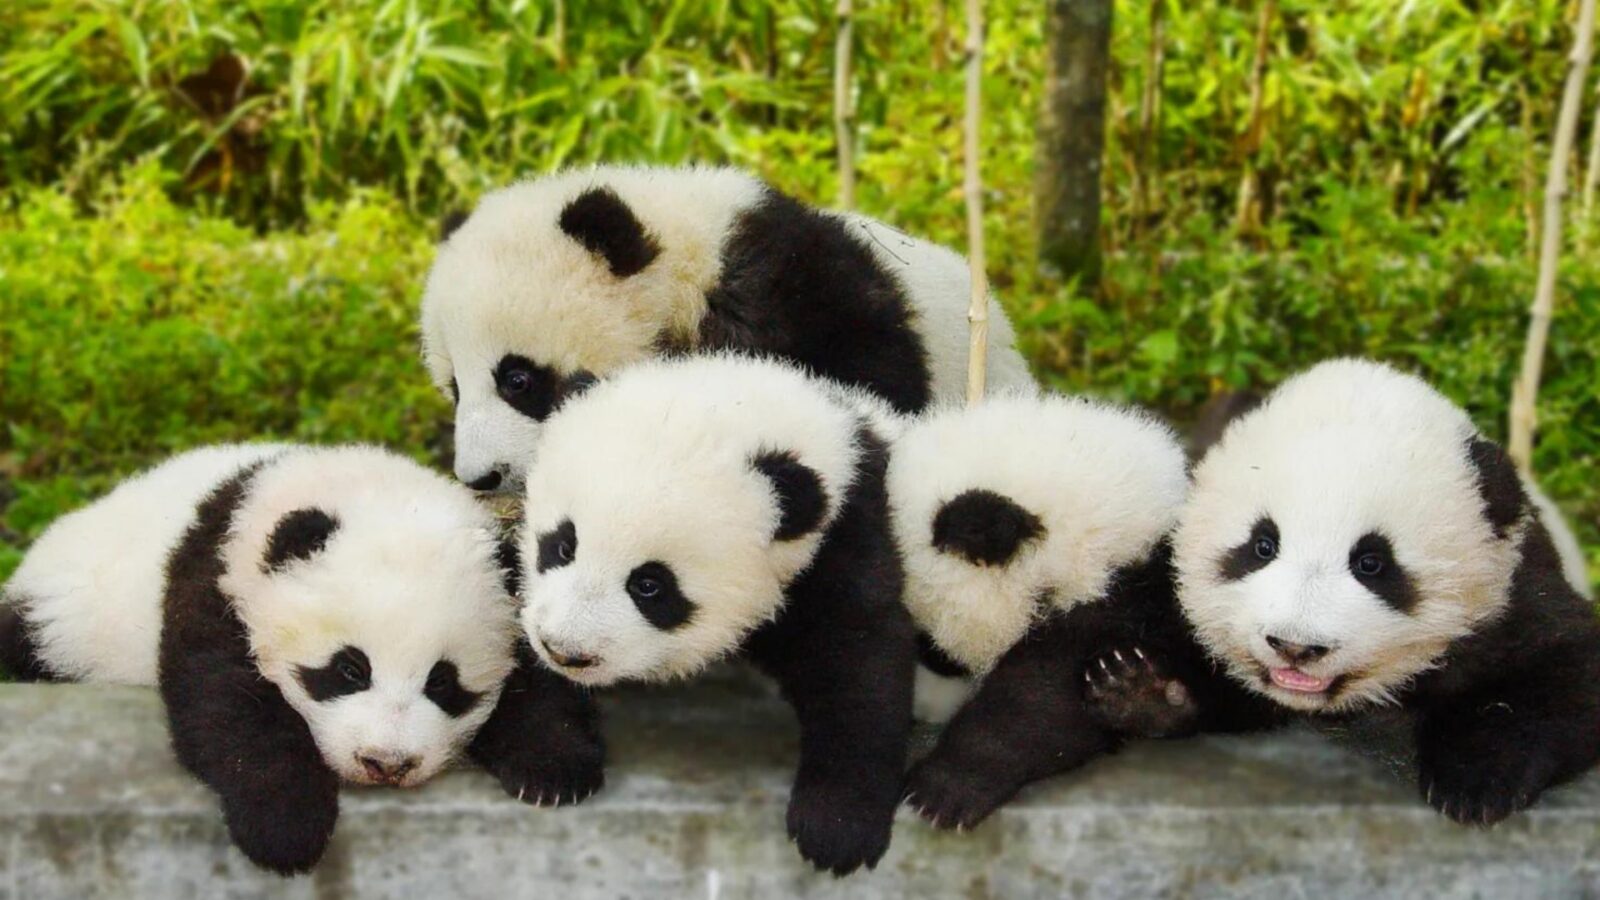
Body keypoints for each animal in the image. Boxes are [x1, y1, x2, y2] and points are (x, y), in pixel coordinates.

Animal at [0, 444, 604, 874]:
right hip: (63, 618)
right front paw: (284, 827)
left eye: (442, 683)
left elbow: (540, 675)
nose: (386, 764)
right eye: (348, 669)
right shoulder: (216, 580)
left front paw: (552, 769)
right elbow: (226, 706)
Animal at [513, 353, 915, 875]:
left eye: (650, 585)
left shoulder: (841, 539)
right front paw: (550, 763)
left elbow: (857, 658)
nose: (565, 651)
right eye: (562, 545)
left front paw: (837, 827)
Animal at [1124, 359, 1600, 826]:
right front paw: (1146, 689)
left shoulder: (1513, 593)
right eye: (1262, 545)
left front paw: (1475, 779)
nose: (1295, 647)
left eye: (1371, 563)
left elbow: (1563, 671)